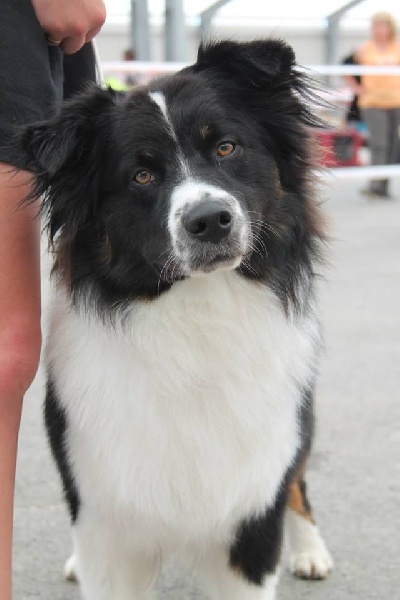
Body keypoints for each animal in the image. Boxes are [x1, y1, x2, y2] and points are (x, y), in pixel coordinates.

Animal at [16, 39, 332, 596]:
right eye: (142, 175)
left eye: (226, 147)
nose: (209, 221)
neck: (198, 318)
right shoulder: (105, 517)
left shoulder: (250, 515)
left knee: (298, 480)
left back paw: (311, 550)